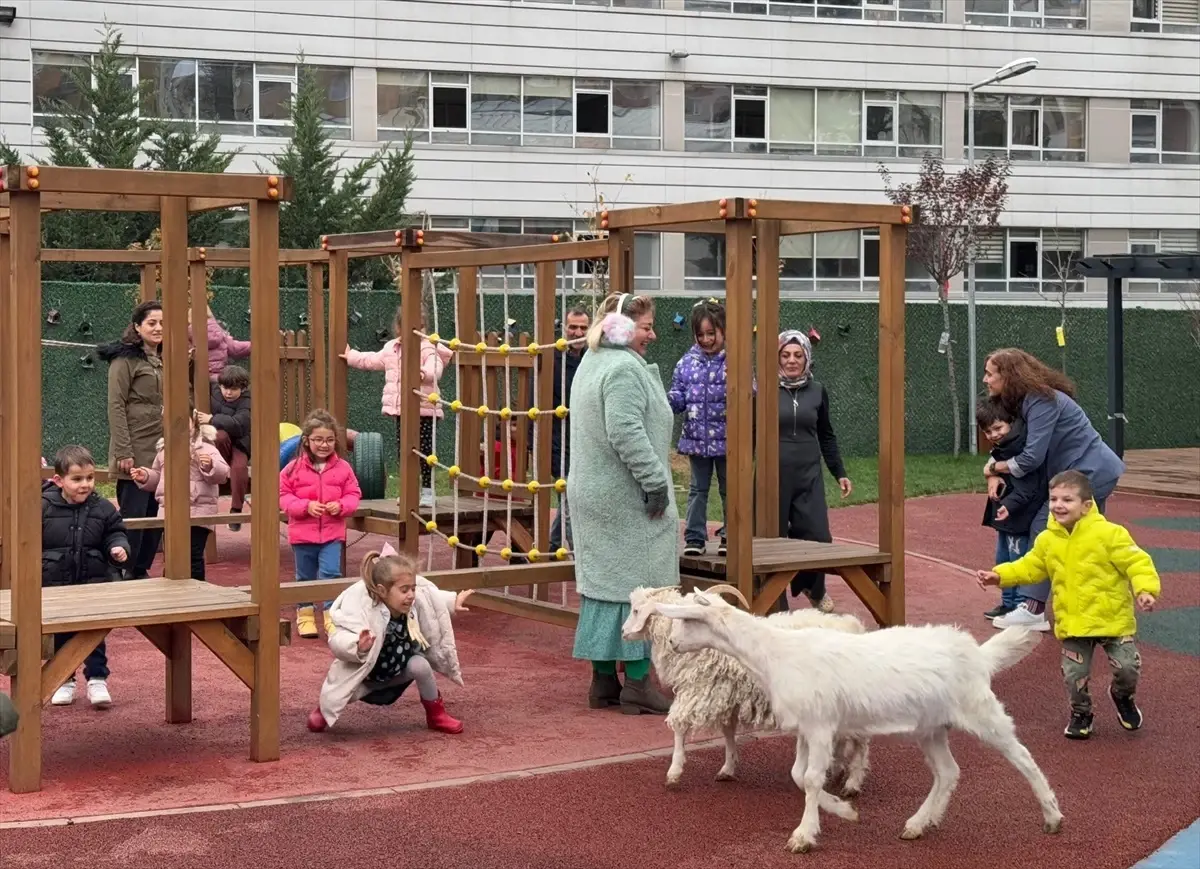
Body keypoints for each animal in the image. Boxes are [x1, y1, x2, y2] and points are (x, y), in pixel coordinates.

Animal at [622, 584, 870, 803]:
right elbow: (728, 732)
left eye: (636, 610)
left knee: (860, 742)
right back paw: (836, 768)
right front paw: (728, 768)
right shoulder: (727, 696)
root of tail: (855, 626)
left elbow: (680, 728)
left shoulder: (700, 692)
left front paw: (674, 772)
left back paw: (852, 783)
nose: (623, 632)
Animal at [652, 589, 1063, 854]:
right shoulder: (807, 728)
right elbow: (799, 776)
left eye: (687, 619)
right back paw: (918, 824)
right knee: (948, 772)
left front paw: (804, 836)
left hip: (980, 709)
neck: (776, 653)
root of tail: (977, 654)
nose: (672, 644)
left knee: (1023, 757)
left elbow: (811, 779)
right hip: (931, 728)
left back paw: (1052, 816)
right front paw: (843, 810)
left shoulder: (820, 725)